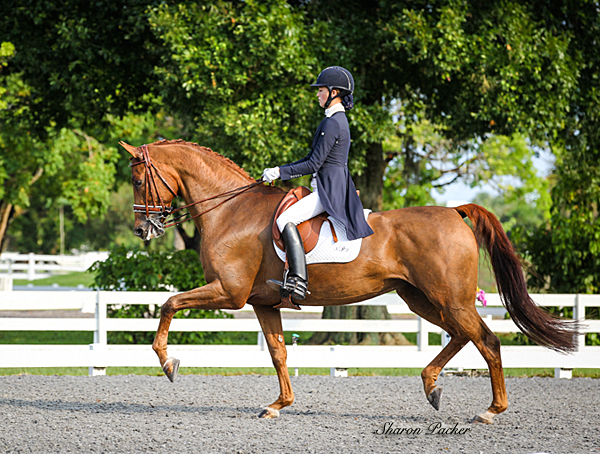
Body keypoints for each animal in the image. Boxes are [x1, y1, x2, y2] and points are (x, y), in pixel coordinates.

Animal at [120, 140, 576, 424]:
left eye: (139, 180)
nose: (142, 229)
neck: (232, 210)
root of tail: (453, 211)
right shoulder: (262, 303)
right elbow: (278, 354)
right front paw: (279, 405)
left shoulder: (228, 294)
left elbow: (169, 304)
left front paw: (168, 362)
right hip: (421, 299)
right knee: (463, 336)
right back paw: (432, 386)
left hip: (450, 298)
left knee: (488, 341)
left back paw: (489, 411)